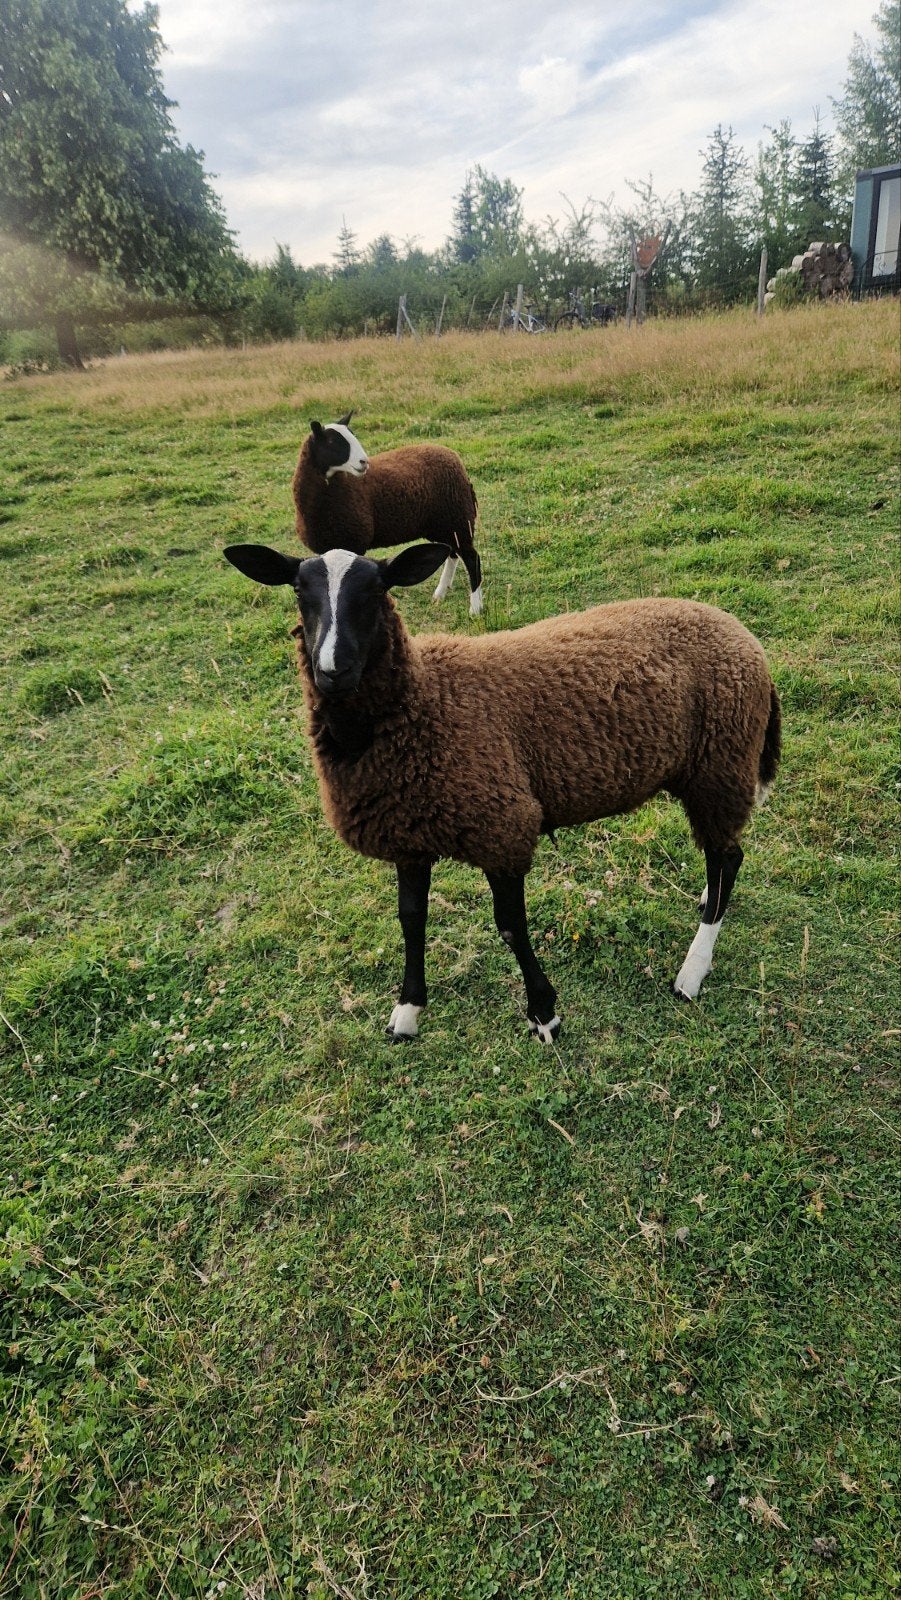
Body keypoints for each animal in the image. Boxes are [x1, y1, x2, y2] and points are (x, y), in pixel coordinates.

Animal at [223, 540, 781, 1043]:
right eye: (299, 590)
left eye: (377, 590)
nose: (332, 670)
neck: (425, 701)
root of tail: (743, 637)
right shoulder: (408, 833)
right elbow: (410, 919)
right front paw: (407, 1011)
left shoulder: (501, 825)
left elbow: (510, 926)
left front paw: (544, 1014)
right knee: (720, 860)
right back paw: (705, 903)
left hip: (719, 767)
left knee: (729, 859)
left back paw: (692, 971)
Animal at [292, 412, 483, 616]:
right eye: (331, 441)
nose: (364, 462)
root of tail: (453, 457)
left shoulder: (355, 541)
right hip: (445, 524)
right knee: (453, 553)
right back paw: (440, 593)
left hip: (457, 517)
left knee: (472, 559)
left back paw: (475, 608)